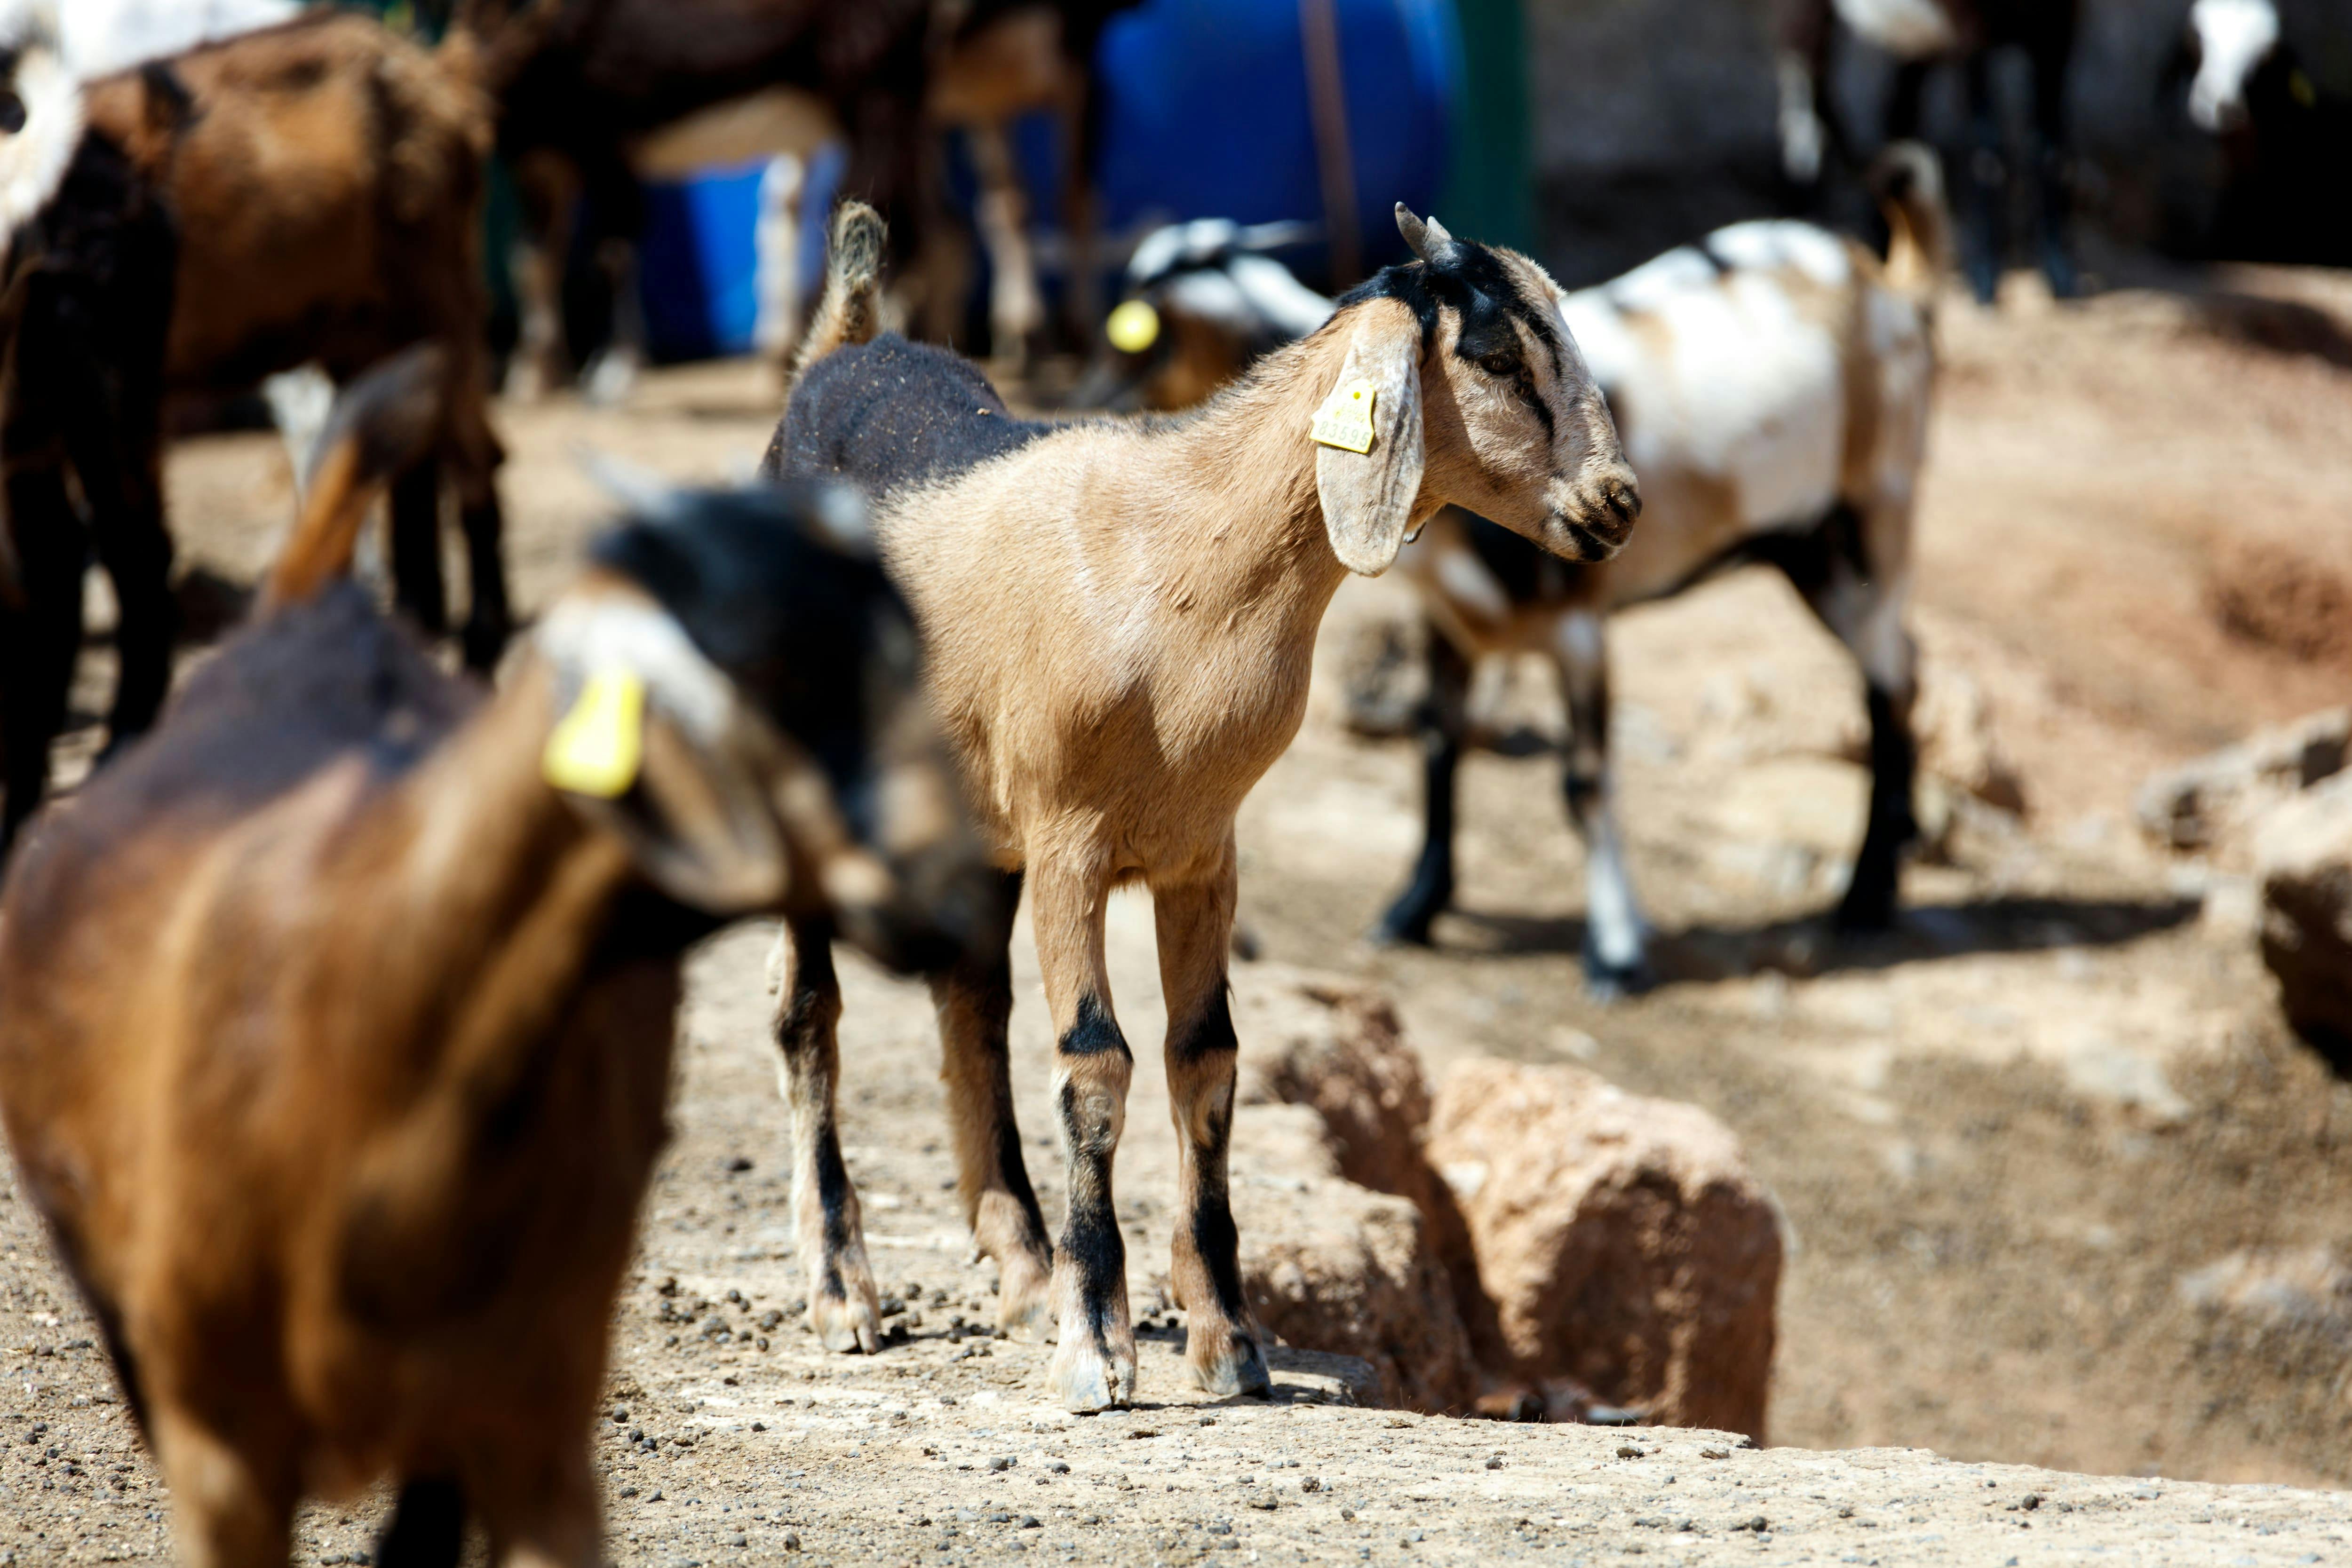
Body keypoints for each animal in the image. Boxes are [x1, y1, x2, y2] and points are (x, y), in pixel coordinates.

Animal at [771, 202, 1637, 1420]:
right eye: (1496, 355)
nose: (1615, 503)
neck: (1172, 560)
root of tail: (840, 345)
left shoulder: (1200, 851)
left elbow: (1208, 1064)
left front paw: (1228, 1341)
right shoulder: (1072, 842)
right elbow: (1095, 1066)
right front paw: (1098, 1349)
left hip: (979, 815)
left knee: (968, 1001)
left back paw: (1022, 1268)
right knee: (810, 1011)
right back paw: (845, 1291)